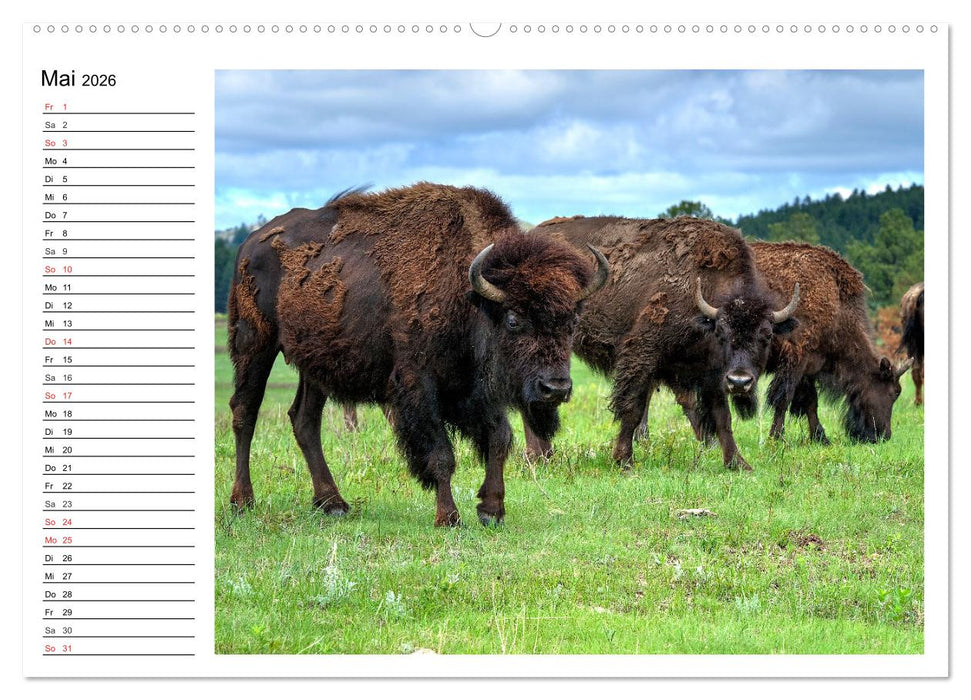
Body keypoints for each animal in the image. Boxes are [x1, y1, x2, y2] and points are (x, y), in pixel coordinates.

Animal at [227, 183, 608, 527]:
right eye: (514, 319)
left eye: (572, 321)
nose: (555, 388)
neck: (469, 297)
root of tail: (250, 243)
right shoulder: (419, 385)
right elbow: (441, 454)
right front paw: (449, 517)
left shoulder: (478, 389)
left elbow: (499, 439)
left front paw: (492, 510)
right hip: (254, 342)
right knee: (245, 411)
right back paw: (243, 501)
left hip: (315, 361)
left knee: (304, 419)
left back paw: (332, 503)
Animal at [523, 216, 799, 470]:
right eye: (721, 332)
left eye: (767, 335)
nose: (740, 382)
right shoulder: (643, 353)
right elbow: (632, 409)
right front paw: (624, 460)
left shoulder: (713, 373)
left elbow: (723, 417)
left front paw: (738, 463)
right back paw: (538, 457)